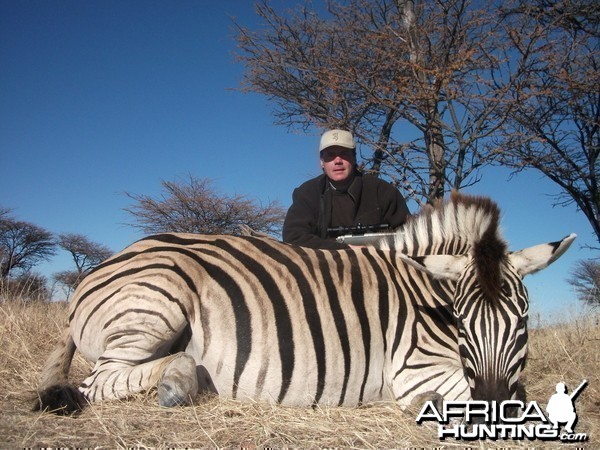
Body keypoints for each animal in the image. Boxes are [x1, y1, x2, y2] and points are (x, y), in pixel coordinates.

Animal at [34, 192, 576, 414]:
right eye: (462, 323)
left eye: (523, 323)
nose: (494, 404)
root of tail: (105, 263)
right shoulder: (415, 369)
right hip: (156, 303)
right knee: (99, 381)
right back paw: (177, 381)